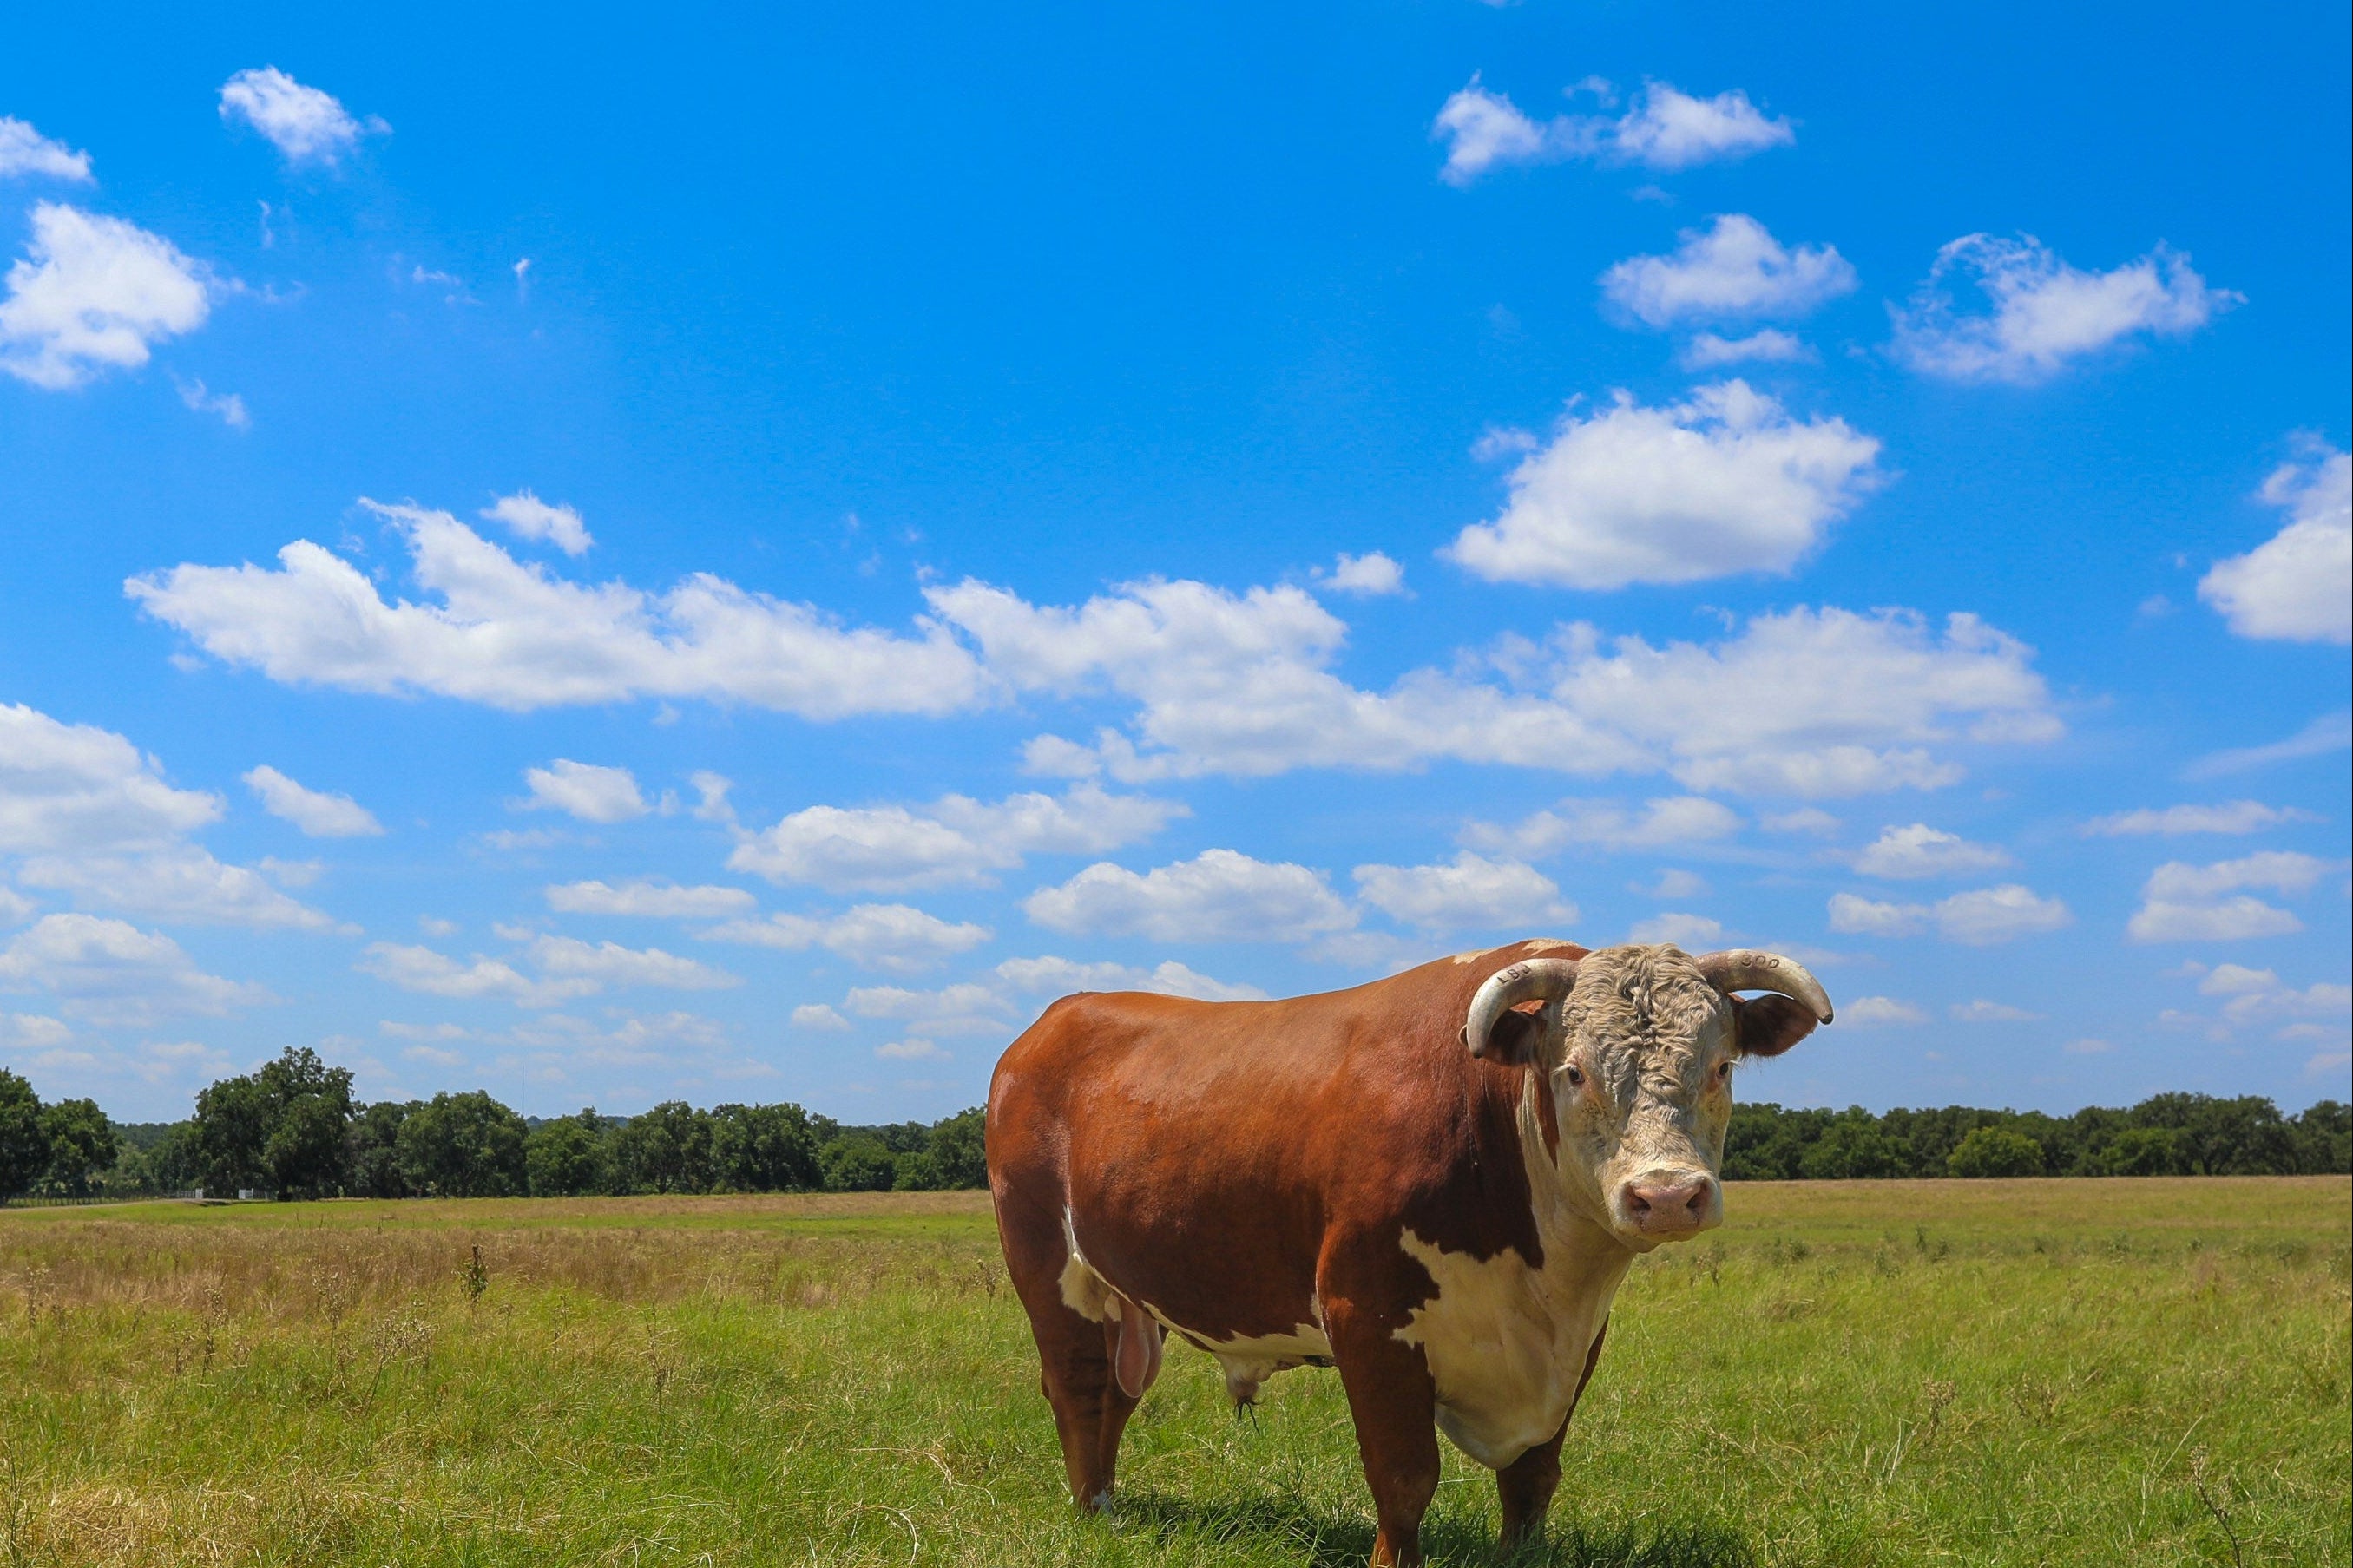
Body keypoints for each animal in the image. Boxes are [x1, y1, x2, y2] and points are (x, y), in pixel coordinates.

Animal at [985, 939, 1834, 1566]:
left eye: (1719, 1066)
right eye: (1573, 1071)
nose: (1665, 1193)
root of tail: (1055, 1019)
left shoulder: (1577, 1340)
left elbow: (1533, 1477)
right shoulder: (1367, 1318)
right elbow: (1403, 1476)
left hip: (1128, 1292)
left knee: (1115, 1393)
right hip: (1045, 1264)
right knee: (1078, 1384)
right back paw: (1094, 1511)